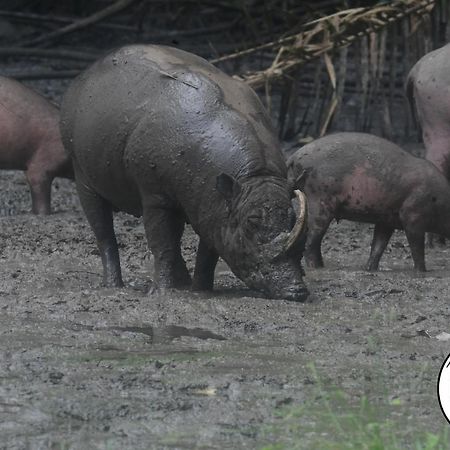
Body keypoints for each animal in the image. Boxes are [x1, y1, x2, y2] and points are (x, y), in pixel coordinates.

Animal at [59, 44, 310, 300]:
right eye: (251, 222)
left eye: (293, 218)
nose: (296, 290)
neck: (254, 176)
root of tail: (81, 79)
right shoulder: (156, 196)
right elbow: (162, 244)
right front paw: (162, 292)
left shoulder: (212, 206)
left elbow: (207, 252)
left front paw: (201, 291)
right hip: (83, 175)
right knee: (104, 232)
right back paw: (113, 285)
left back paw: (183, 283)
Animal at [286, 130, 450, 270]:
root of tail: (294, 156)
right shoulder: (413, 217)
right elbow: (416, 247)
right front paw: (421, 271)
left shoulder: (387, 220)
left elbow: (379, 244)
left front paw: (370, 269)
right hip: (320, 200)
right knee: (312, 237)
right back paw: (316, 267)